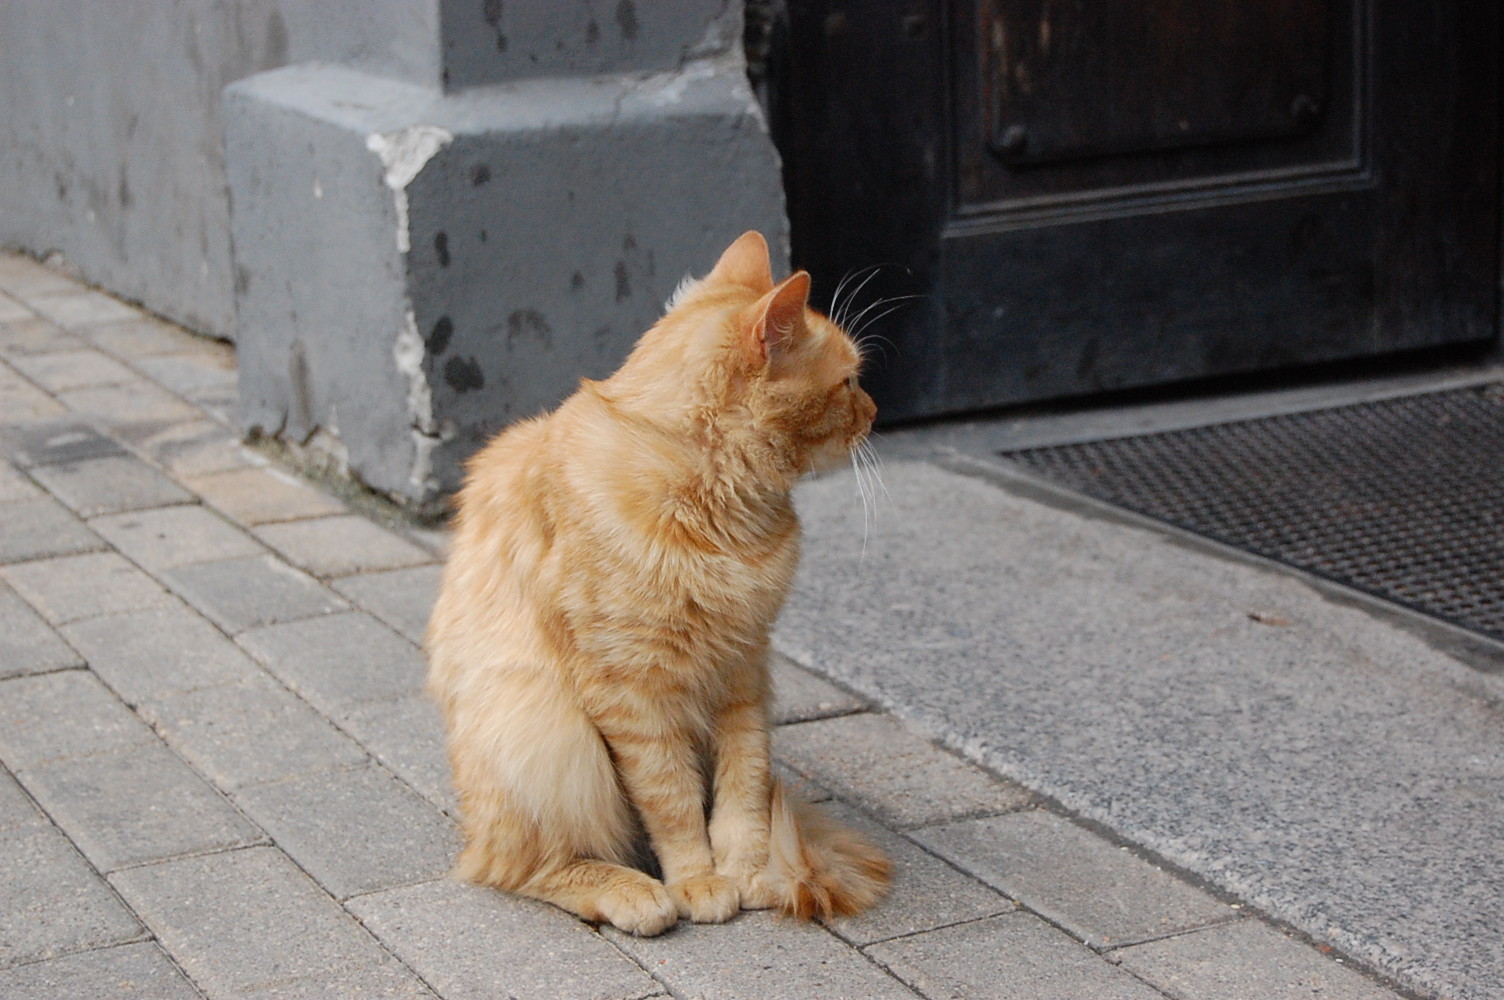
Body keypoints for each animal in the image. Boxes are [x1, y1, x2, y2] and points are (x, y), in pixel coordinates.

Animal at [424, 230, 884, 932]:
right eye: (850, 381)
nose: (876, 410)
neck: (713, 503)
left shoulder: (744, 671)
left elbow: (744, 786)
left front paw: (746, 868)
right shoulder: (632, 690)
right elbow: (672, 801)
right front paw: (698, 879)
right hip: (547, 732)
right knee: (522, 867)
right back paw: (633, 892)